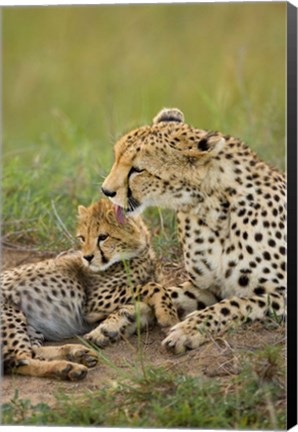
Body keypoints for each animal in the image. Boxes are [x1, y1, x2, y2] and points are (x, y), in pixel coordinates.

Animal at [1, 199, 178, 378]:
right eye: (82, 238)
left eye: (103, 237)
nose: (87, 257)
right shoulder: (96, 301)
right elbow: (154, 287)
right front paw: (168, 315)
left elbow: (153, 293)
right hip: (10, 313)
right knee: (19, 359)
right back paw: (68, 367)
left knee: (30, 352)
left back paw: (76, 354)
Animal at [102, 106, 286, 352]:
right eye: (117, 158)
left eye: (138, 170)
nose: (106, 191)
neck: (211, 208)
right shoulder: (206, 287)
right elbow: (166, 291)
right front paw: (117, 320)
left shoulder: (281, 292)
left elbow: (234, 303)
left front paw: (188, 330)